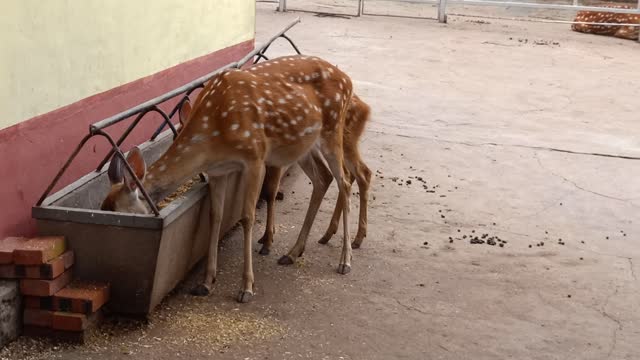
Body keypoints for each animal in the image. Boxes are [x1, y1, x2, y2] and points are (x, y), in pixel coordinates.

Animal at [102, 54, 358, 302]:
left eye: (122, 215)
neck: (213, 135)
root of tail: (348, 79)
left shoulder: (255, 157)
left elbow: (247, 216)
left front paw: (246, 287)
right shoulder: (218, 171)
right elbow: (215, 216)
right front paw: (206, 282)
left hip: (332, 130)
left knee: (344, 181)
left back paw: (345, 260)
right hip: (304, 144)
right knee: (323, 178)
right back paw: (293, 253)